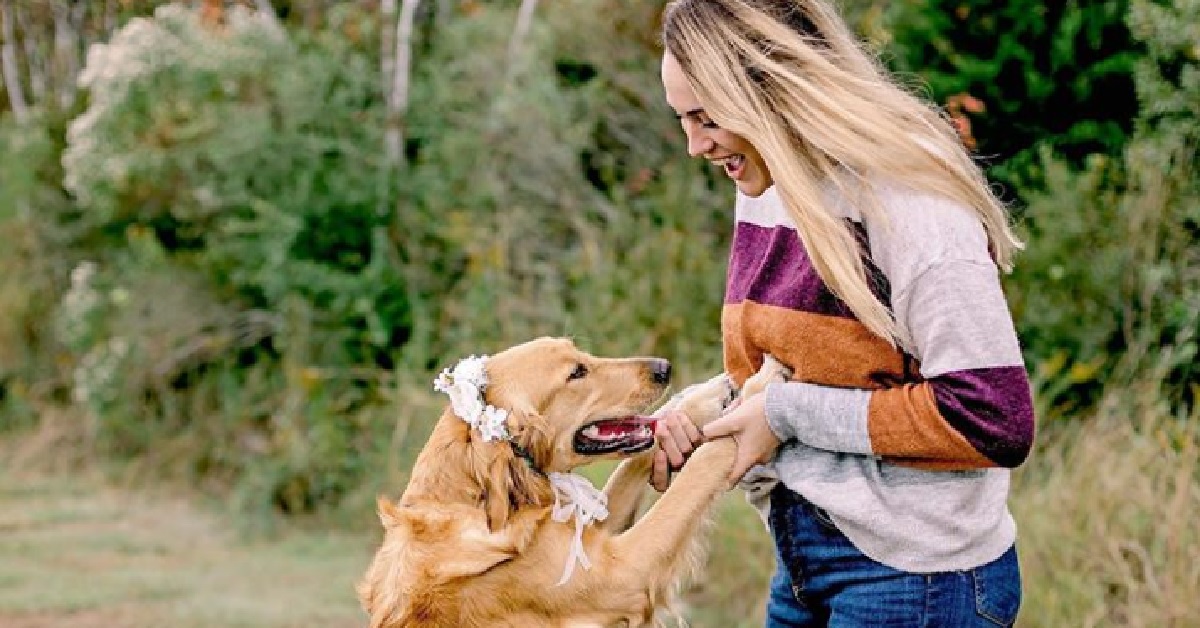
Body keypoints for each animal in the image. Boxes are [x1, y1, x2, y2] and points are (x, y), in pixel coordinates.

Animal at [360, 336, 792, 624]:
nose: (663, 367)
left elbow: (639, 455)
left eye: (580, 355)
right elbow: (706, 461)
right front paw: (759, 388)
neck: (471, 499)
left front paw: (702, 401)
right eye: (577, 373)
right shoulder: (624, 574)